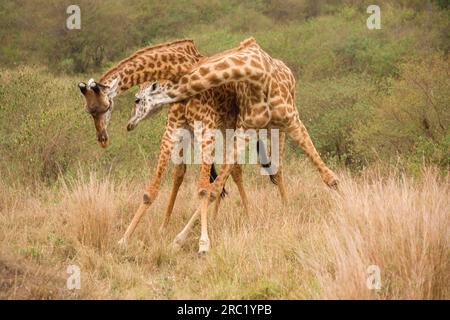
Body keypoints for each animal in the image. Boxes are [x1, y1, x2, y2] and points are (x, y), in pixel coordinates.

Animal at [130, 37, 338, 254]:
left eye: (138, 99)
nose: (130, 122)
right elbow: (206, 185)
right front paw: (175, 237)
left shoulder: (291, 121)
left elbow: (330, 177)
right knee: (219, 173)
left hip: (274, 128)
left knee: (275, 169)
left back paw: (280, 209)